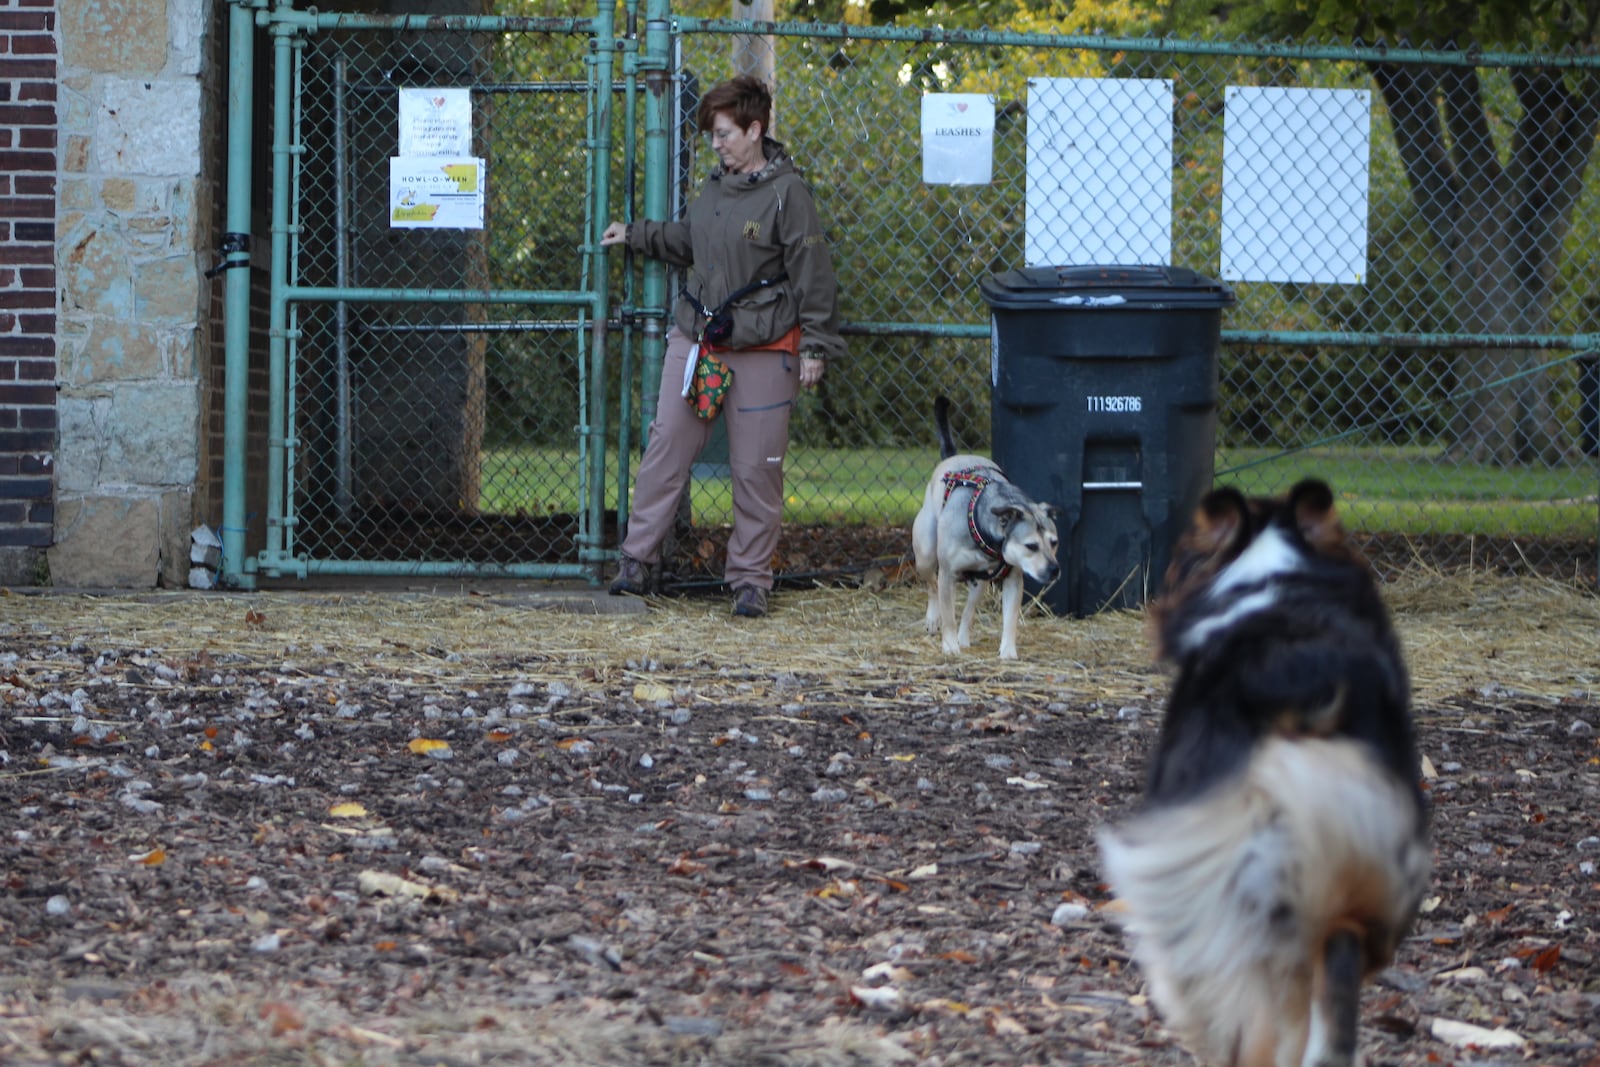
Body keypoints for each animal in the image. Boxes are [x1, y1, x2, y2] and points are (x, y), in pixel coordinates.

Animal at [915, 395, 1062, 655]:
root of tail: (953, 456)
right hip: (925, 554)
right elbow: (948, 614)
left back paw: (964, 636)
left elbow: (1010, 618)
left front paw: (1008, 652)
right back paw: (933, 619)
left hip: (980, 582)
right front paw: (950, 646)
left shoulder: (1013, 579)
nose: (1054, 570)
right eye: (1031, 546)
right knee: (931, 586)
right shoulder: (947, 575)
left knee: (969, 610)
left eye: (1054, 543)